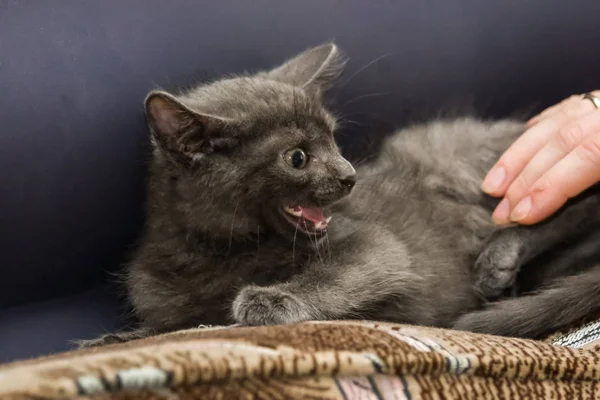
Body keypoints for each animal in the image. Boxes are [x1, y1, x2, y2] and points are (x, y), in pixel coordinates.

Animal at [83, 42, 600, 346]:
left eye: (334, 139)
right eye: (297, 157)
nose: (351, 176)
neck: (223, 252)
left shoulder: (377, 244)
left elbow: (344, 268)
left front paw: (270, 300)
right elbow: (160, 326)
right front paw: (111, 340)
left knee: (569, 205)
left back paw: (501, 255)